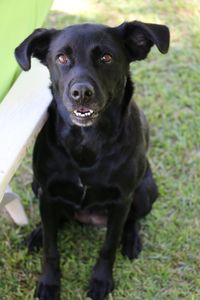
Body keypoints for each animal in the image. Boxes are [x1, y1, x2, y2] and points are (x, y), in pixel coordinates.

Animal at [14, 21, 170, 300]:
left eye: (106, 57)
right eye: (61, 58)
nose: (81, 93)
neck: (86, 142)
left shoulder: (121, 200)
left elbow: (108, 246)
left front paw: (101, 280)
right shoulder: (48, 193)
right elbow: (51, 248)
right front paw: (49, 282)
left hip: (144, 191)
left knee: (133, 221)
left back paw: (131, 241)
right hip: (36, 185)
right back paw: (37, 235)